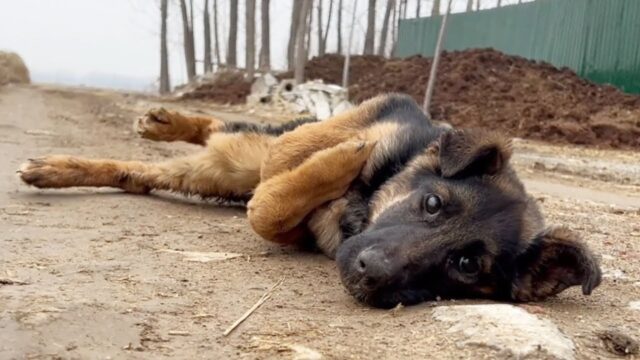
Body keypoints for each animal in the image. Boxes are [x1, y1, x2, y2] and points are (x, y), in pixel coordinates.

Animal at [17, 94, 604, 308]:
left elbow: (267, 211)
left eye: (466, 265)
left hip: (215, 174)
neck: (363, 204)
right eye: (434, 205)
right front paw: (347, 156)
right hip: (250, 150)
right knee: (227, 130)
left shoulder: (290, 216)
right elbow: (274, 196)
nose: (369, 273)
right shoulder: (326, 140)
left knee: (139, 174)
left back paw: (56, 169)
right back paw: (164, 120)